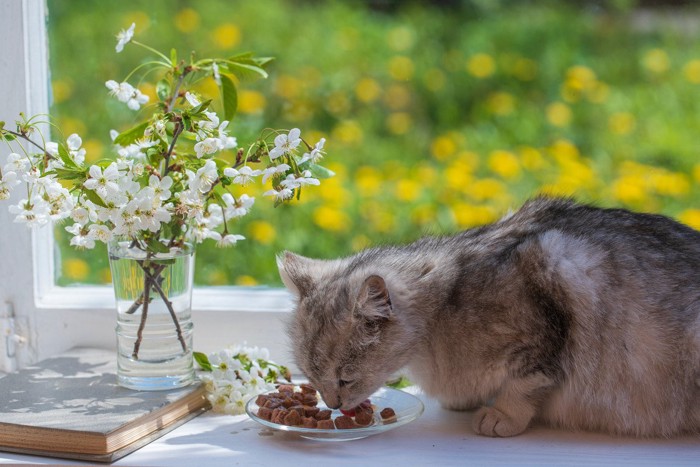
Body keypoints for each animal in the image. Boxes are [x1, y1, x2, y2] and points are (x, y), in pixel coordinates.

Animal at [278, 196, 700, 436]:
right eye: (311, 376)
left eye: (345, 379)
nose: (332, 405)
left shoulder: (545, 320)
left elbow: (523, 383)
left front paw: (501, 416)